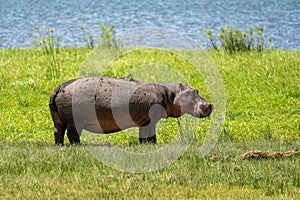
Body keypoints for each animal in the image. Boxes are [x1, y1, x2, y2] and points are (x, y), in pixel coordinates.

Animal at [49, 76, 213, 145]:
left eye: (196, 90)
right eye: (191, 92)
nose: (210, 104)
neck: (171, 94)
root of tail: (58, 89)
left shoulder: (145, 121)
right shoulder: (149, 121)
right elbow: (149, 135)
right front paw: (151, 145)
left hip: (58, 120)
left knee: (58, 132)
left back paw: (60, 146)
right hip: (74, 122)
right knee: (72, 134)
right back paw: (78, 145)